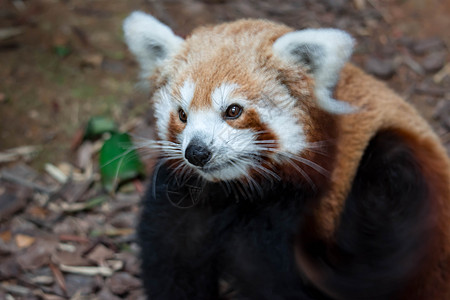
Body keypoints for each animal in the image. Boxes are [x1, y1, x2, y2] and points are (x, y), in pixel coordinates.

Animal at [123, 11, 450, 300]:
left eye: (233, 111)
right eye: (182, 115)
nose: (197, 152)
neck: (231, 194)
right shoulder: (183, 202)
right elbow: (172, 266)